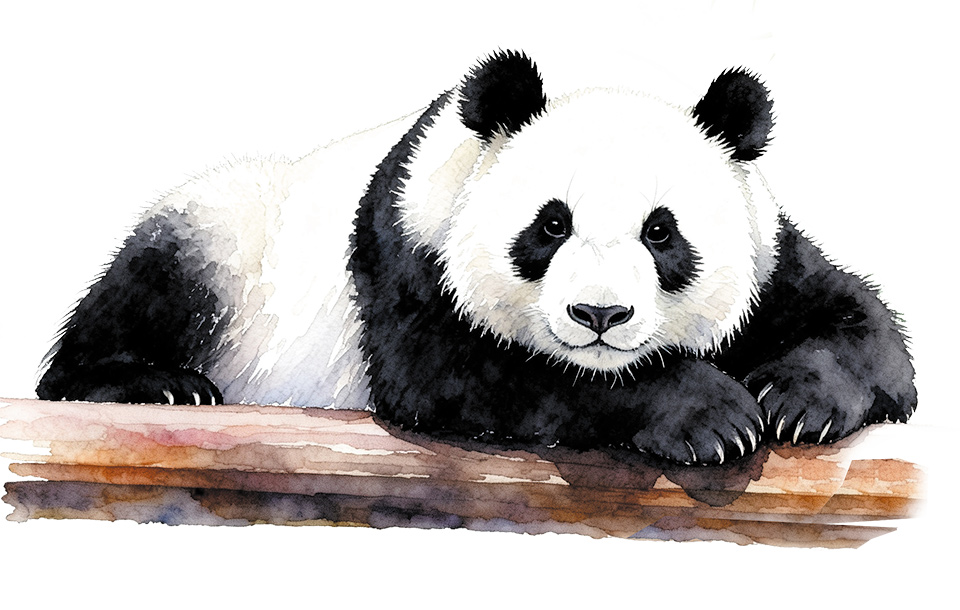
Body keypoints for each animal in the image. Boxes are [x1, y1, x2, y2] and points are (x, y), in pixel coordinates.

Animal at [37, 50, 917, 465]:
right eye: (550, 225)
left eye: (662, 234)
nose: (599, 315)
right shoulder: (407, 250)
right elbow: (471, 377)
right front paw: (709, 416)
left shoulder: (770, 255)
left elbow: (865, 327)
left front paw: (794, 400)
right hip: (233, 235)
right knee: (153, 282)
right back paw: (153, 383)